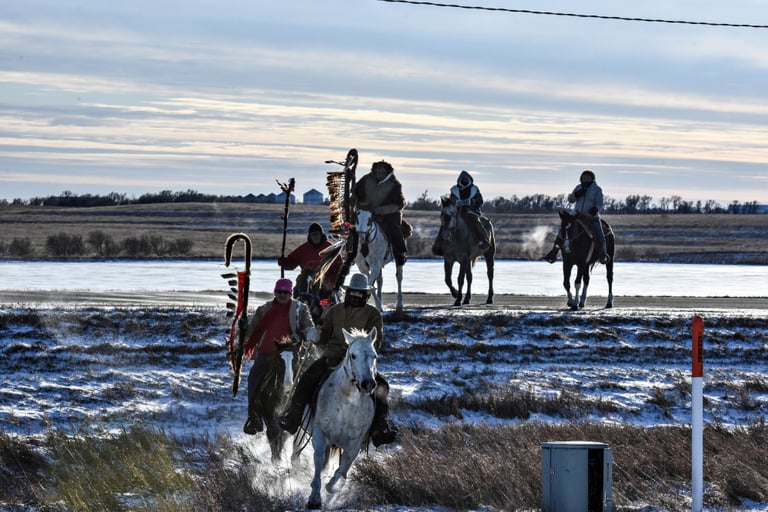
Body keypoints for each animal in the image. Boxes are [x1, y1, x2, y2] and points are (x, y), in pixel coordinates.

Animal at [306, 328, 378, 508]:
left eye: (374, 355)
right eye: (353, 355)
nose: (368, 384)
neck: (347, 400)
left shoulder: (355, 443)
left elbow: (343, 468)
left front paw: (332, 487)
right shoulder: (320, 433)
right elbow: (318, 459)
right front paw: (314, 497)